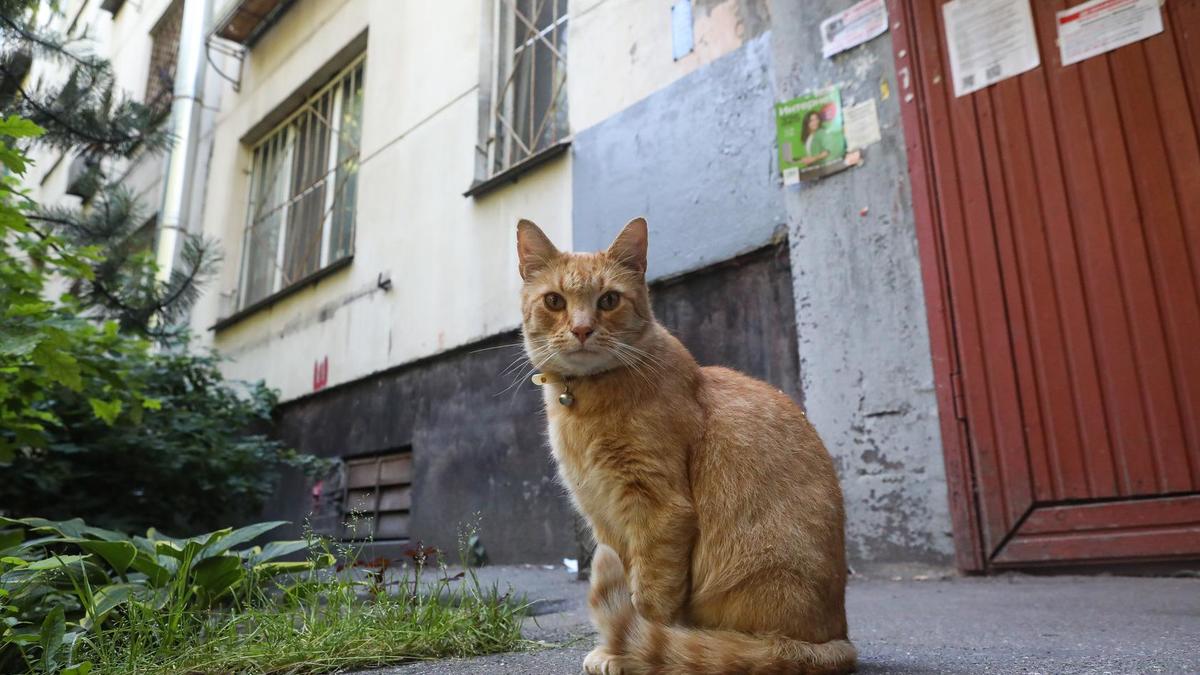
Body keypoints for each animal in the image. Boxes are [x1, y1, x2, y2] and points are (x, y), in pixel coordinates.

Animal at [516, 218, 854, 667]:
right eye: (554, 301)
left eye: (609, 300)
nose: (583, 329)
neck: (585, 402)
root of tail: (835, 639)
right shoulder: (605, 517)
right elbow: (628, 581)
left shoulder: (660, 509)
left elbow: (649, 597)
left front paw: (628, 651)